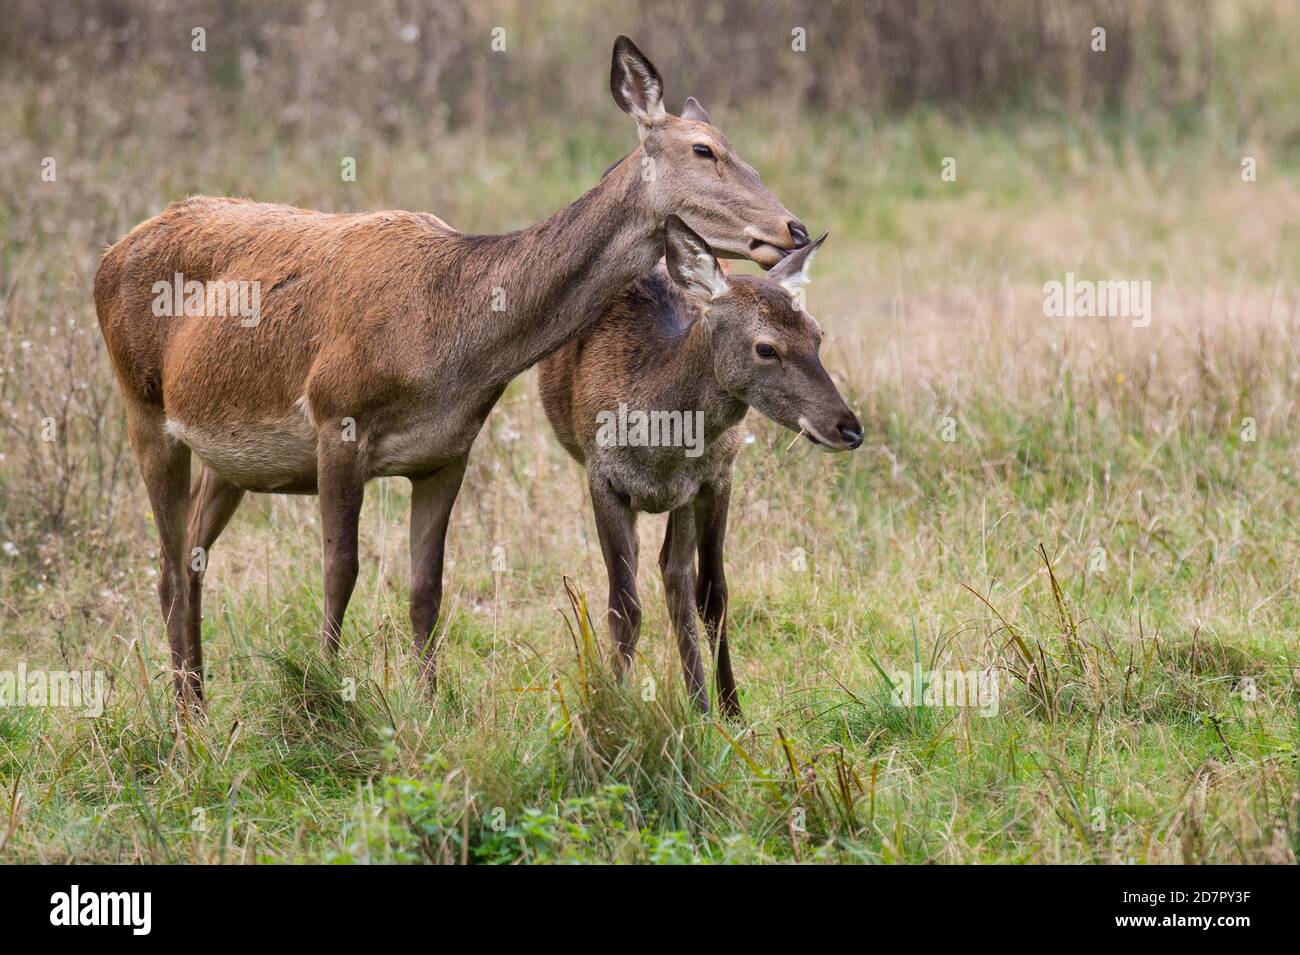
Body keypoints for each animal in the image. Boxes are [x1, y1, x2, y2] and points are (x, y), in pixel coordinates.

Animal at [96, 35, 806, 701]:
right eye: (704, 150)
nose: (794, 228)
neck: (446, 345)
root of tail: (109, 253)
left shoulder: (446, 452)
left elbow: (427, 588)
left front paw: (430, 703)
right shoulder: (334, 416)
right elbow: (340, 570)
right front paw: (323, 691)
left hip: (230, 462)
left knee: (191, 558)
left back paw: (197, 700)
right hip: (142, 405)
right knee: (167, 568)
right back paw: (187, 721)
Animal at [540, 214, 863, 717]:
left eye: (818, 335)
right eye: (766, 348)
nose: (849, 428)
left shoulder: (714, 479)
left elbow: (712, 593)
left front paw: (730, 709)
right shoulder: (602, 477)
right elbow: (623, 604)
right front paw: (614, 704)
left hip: (687, 496)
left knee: (673, 574)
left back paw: (699, 700)